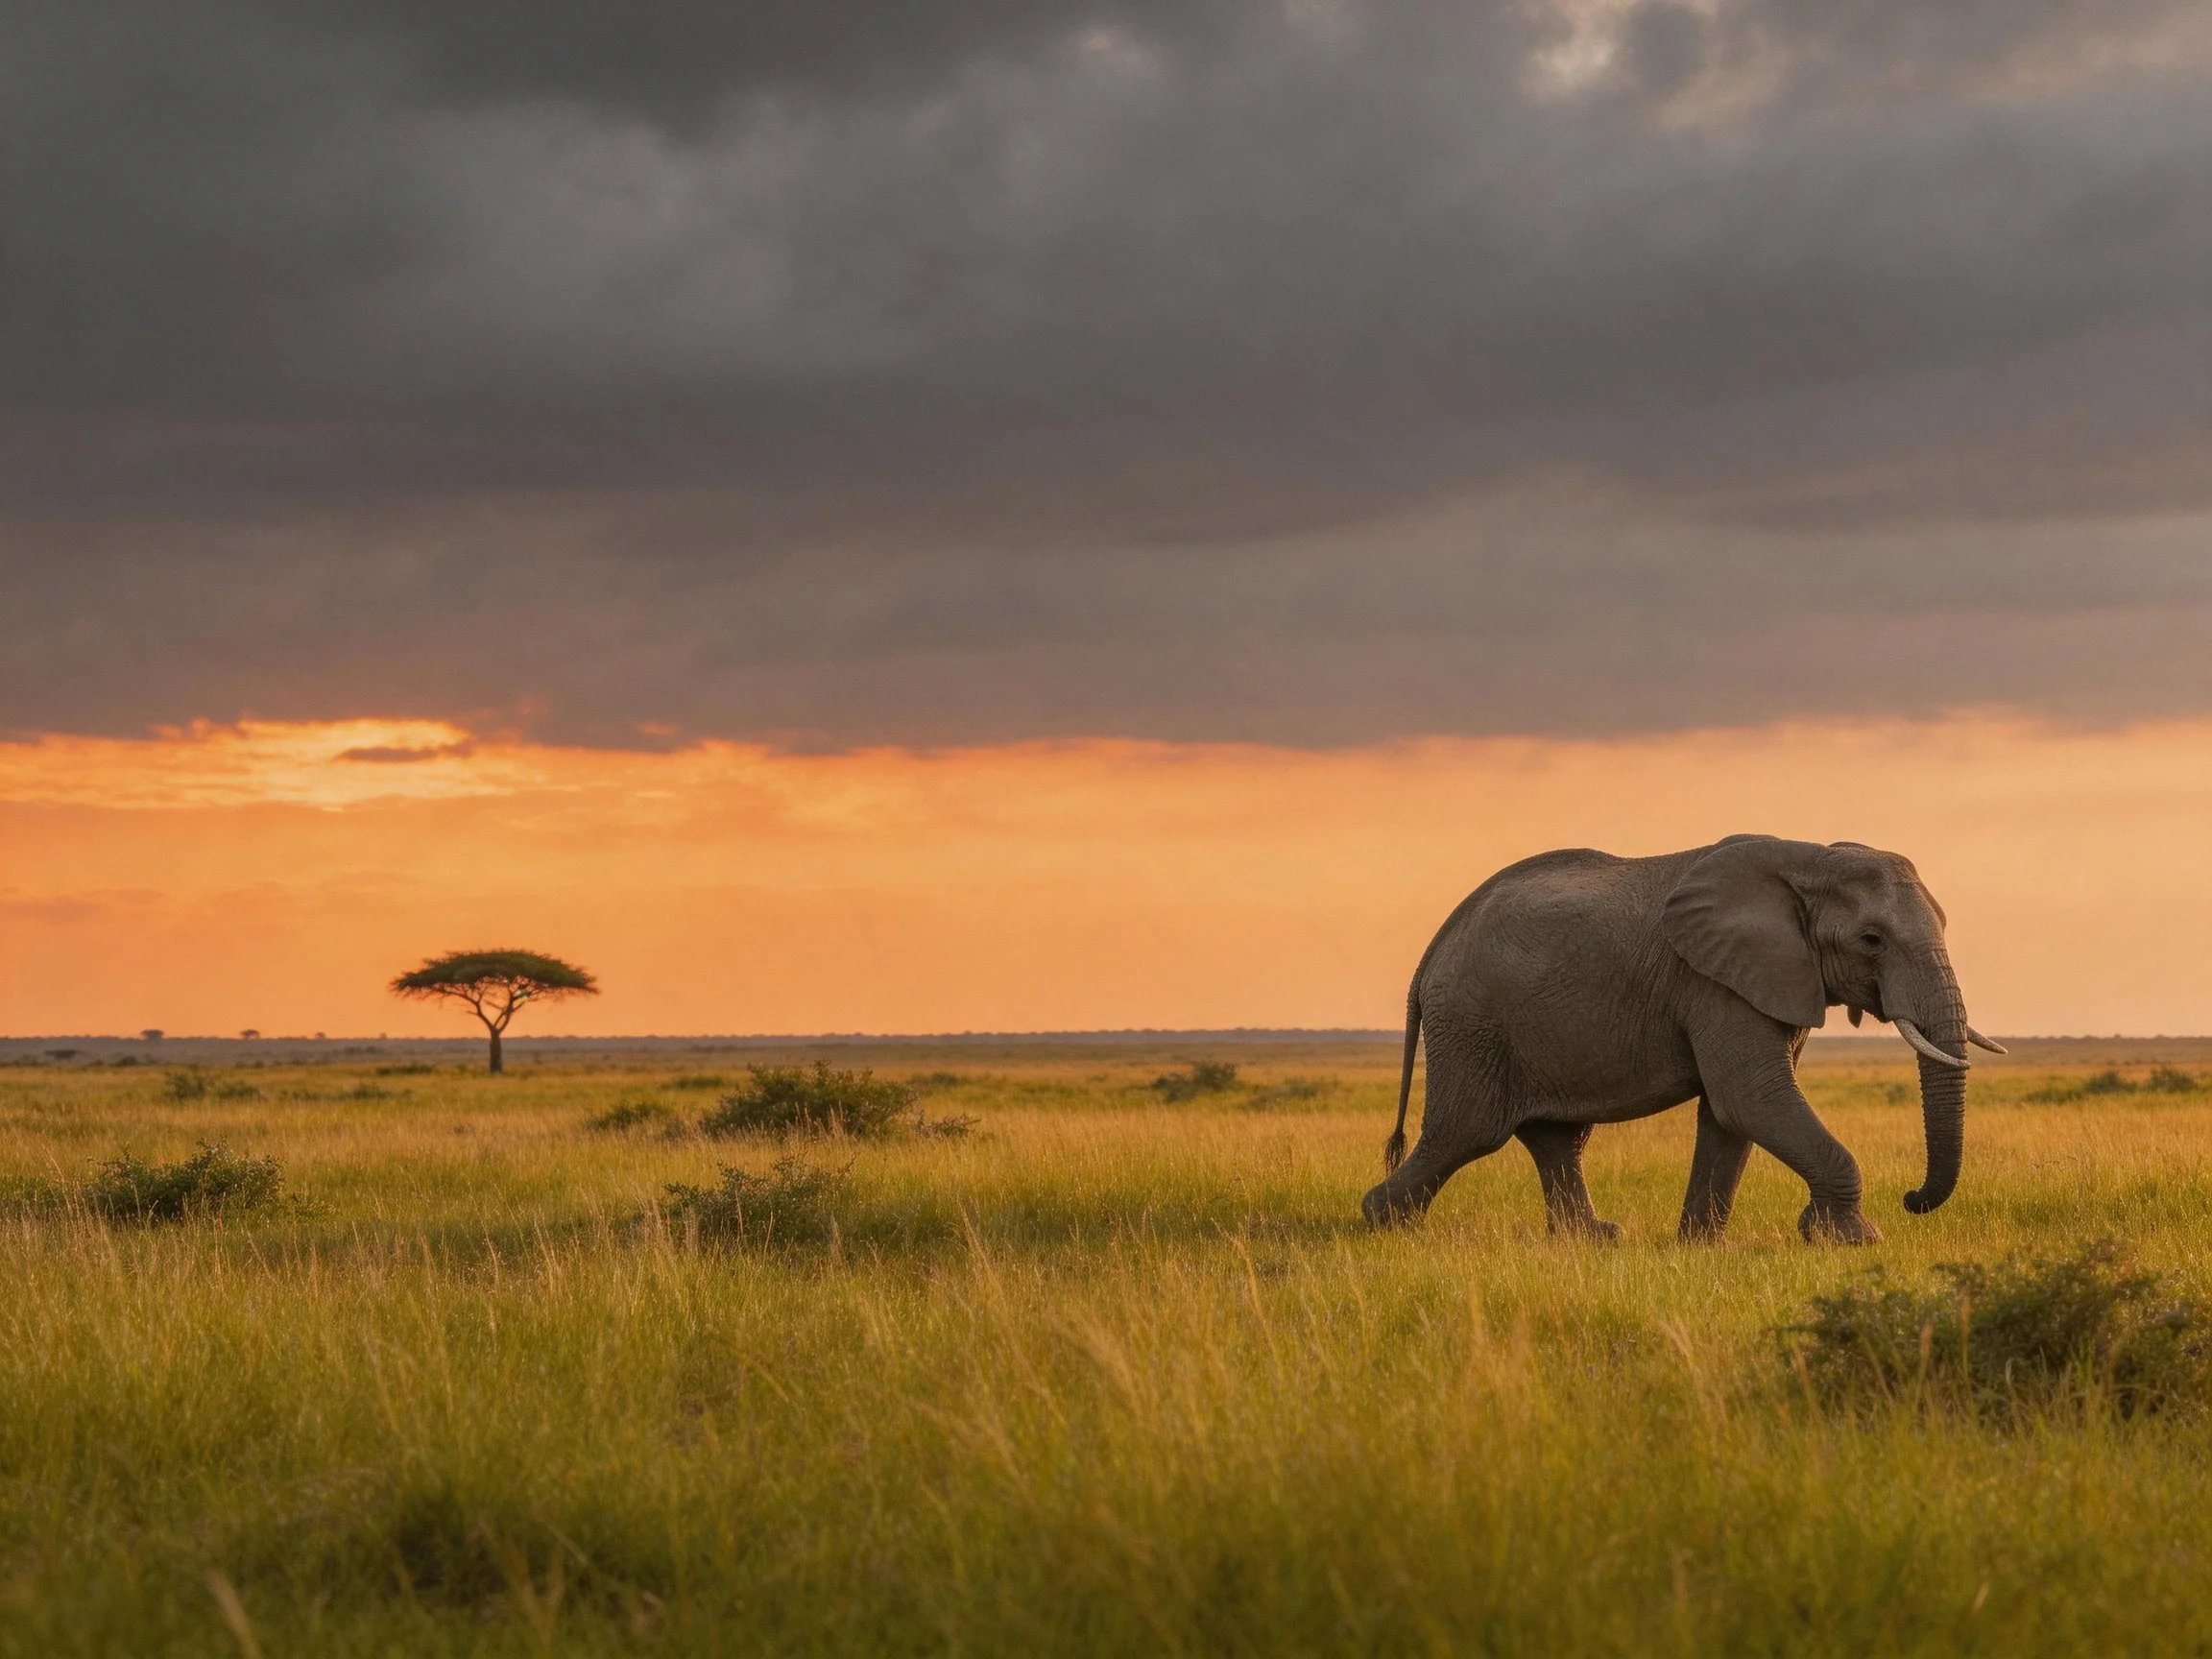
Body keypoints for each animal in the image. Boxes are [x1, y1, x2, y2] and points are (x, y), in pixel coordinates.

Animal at [1361, 835, 2003, 1243]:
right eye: (1871, 940)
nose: (1912, 1199)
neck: (1810, 860)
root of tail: (1433, 950)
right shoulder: (1713, 980)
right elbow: (1751, 1098)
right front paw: (1851, 1240)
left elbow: (1730, 1112)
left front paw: (1699, 1245)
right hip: (1472, 1022)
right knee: (1464, 1133)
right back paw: (1383, 1223)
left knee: (1556, 1139)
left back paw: (1594, 1239)